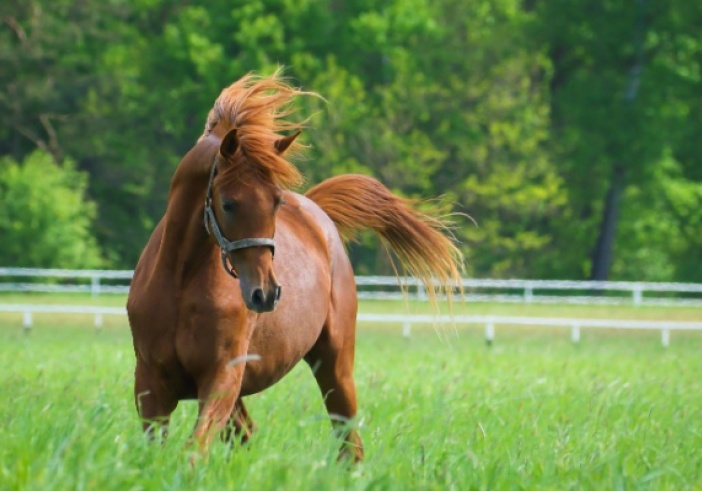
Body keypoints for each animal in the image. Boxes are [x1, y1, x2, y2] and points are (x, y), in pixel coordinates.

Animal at [126, 70, 464, 462]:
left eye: (276, 201)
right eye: (228, 204)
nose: (266, 294)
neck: (180, 283)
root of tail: (319, 215)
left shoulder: (220, 379)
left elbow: (194, 450)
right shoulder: (151, 386)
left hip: (335, 366)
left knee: (349, 442)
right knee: (247, 433)